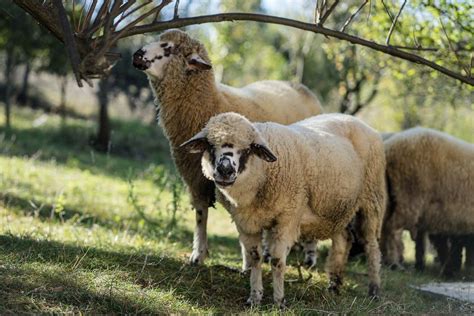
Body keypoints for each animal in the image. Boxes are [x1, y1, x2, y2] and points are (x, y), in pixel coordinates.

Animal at [131, 30, 324, 266]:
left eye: (168, 48)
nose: (136, 54)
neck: (212, 102)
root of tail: (302, 87)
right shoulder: (196, 178)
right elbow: (201, 215)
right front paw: (198, 254)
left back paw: (309, 256)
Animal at [180, 111, 386, 306]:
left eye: (247, 149)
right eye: (210, 145)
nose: (225, 170)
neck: (263, 173)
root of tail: (356, 120)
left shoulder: (287, 218)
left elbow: (277, 261)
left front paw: (279, 301)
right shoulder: (246, 223)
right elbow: (254, 257)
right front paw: (254, 298)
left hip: (372, 197)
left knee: (371, 245)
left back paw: (374, 290)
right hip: (337, 209)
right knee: (344, 239)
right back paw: (334, 285)